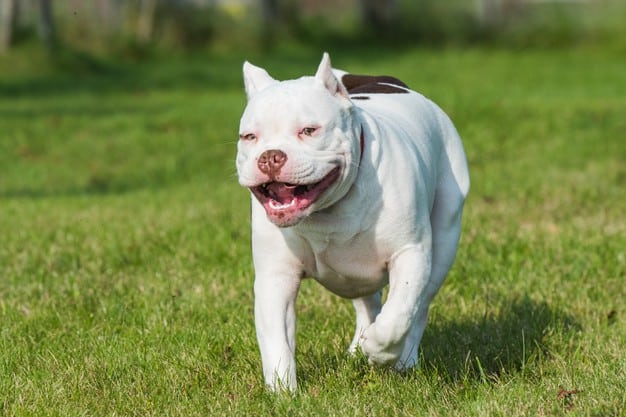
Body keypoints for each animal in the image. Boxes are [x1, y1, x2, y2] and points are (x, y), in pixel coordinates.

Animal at [235, 52, 468, 390]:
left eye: (309, 130)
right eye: (249, 137)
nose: (270, 156)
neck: (328, 209)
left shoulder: (410, 254)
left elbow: (399, 313)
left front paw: (381, 350)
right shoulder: (276, 276)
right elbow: (277, 340)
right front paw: (283, 392)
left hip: (445, 238)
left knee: (420, 307)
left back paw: (404, 359)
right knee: (368, 303)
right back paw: (360, 346)